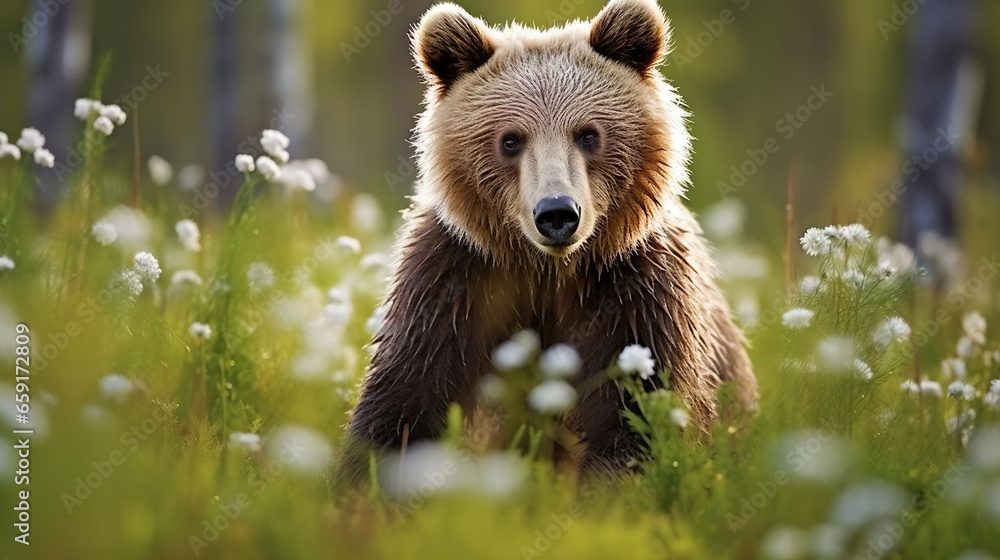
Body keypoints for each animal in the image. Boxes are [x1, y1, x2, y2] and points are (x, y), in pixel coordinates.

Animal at [341, 0, 756, 482]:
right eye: (510, 140)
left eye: (588, 133)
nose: (557, 213)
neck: (548, 270)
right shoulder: (454, 279)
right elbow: (406, 398)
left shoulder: (636, 289)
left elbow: (638, 412)